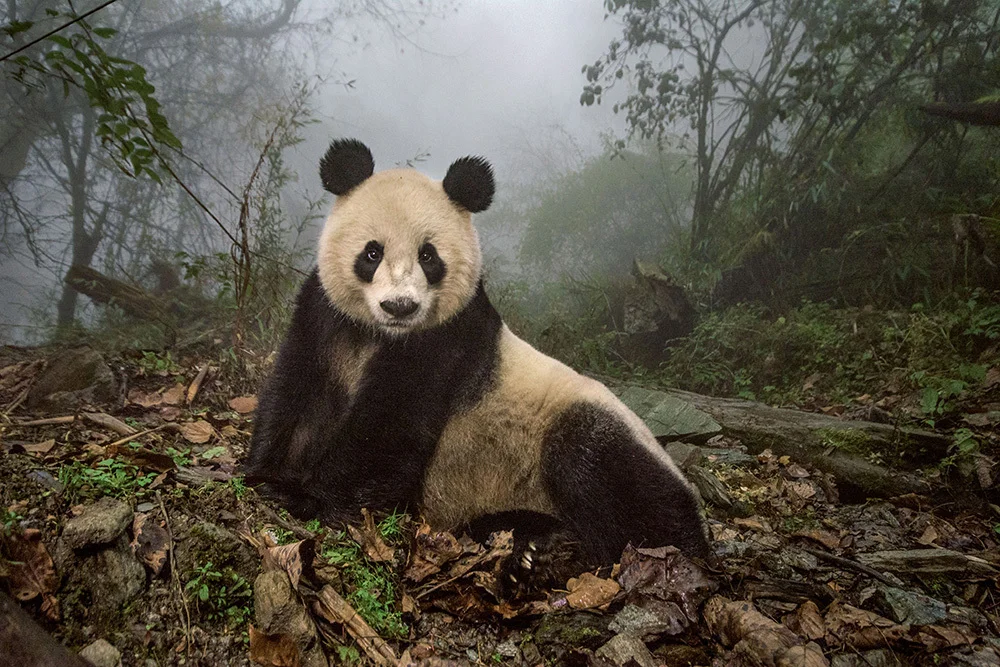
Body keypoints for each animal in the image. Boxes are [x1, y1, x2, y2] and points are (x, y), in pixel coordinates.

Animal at [246, 138, 709, 590]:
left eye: (429, 256)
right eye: (372, 253)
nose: (400, 306)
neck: (381, 334)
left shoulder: (447, 339)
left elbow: (388, 429)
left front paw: (308, 497)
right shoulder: (324, 316)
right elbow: (297, 393)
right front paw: (266, 475)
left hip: (589, 429)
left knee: (610, 477)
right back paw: (530, 544)